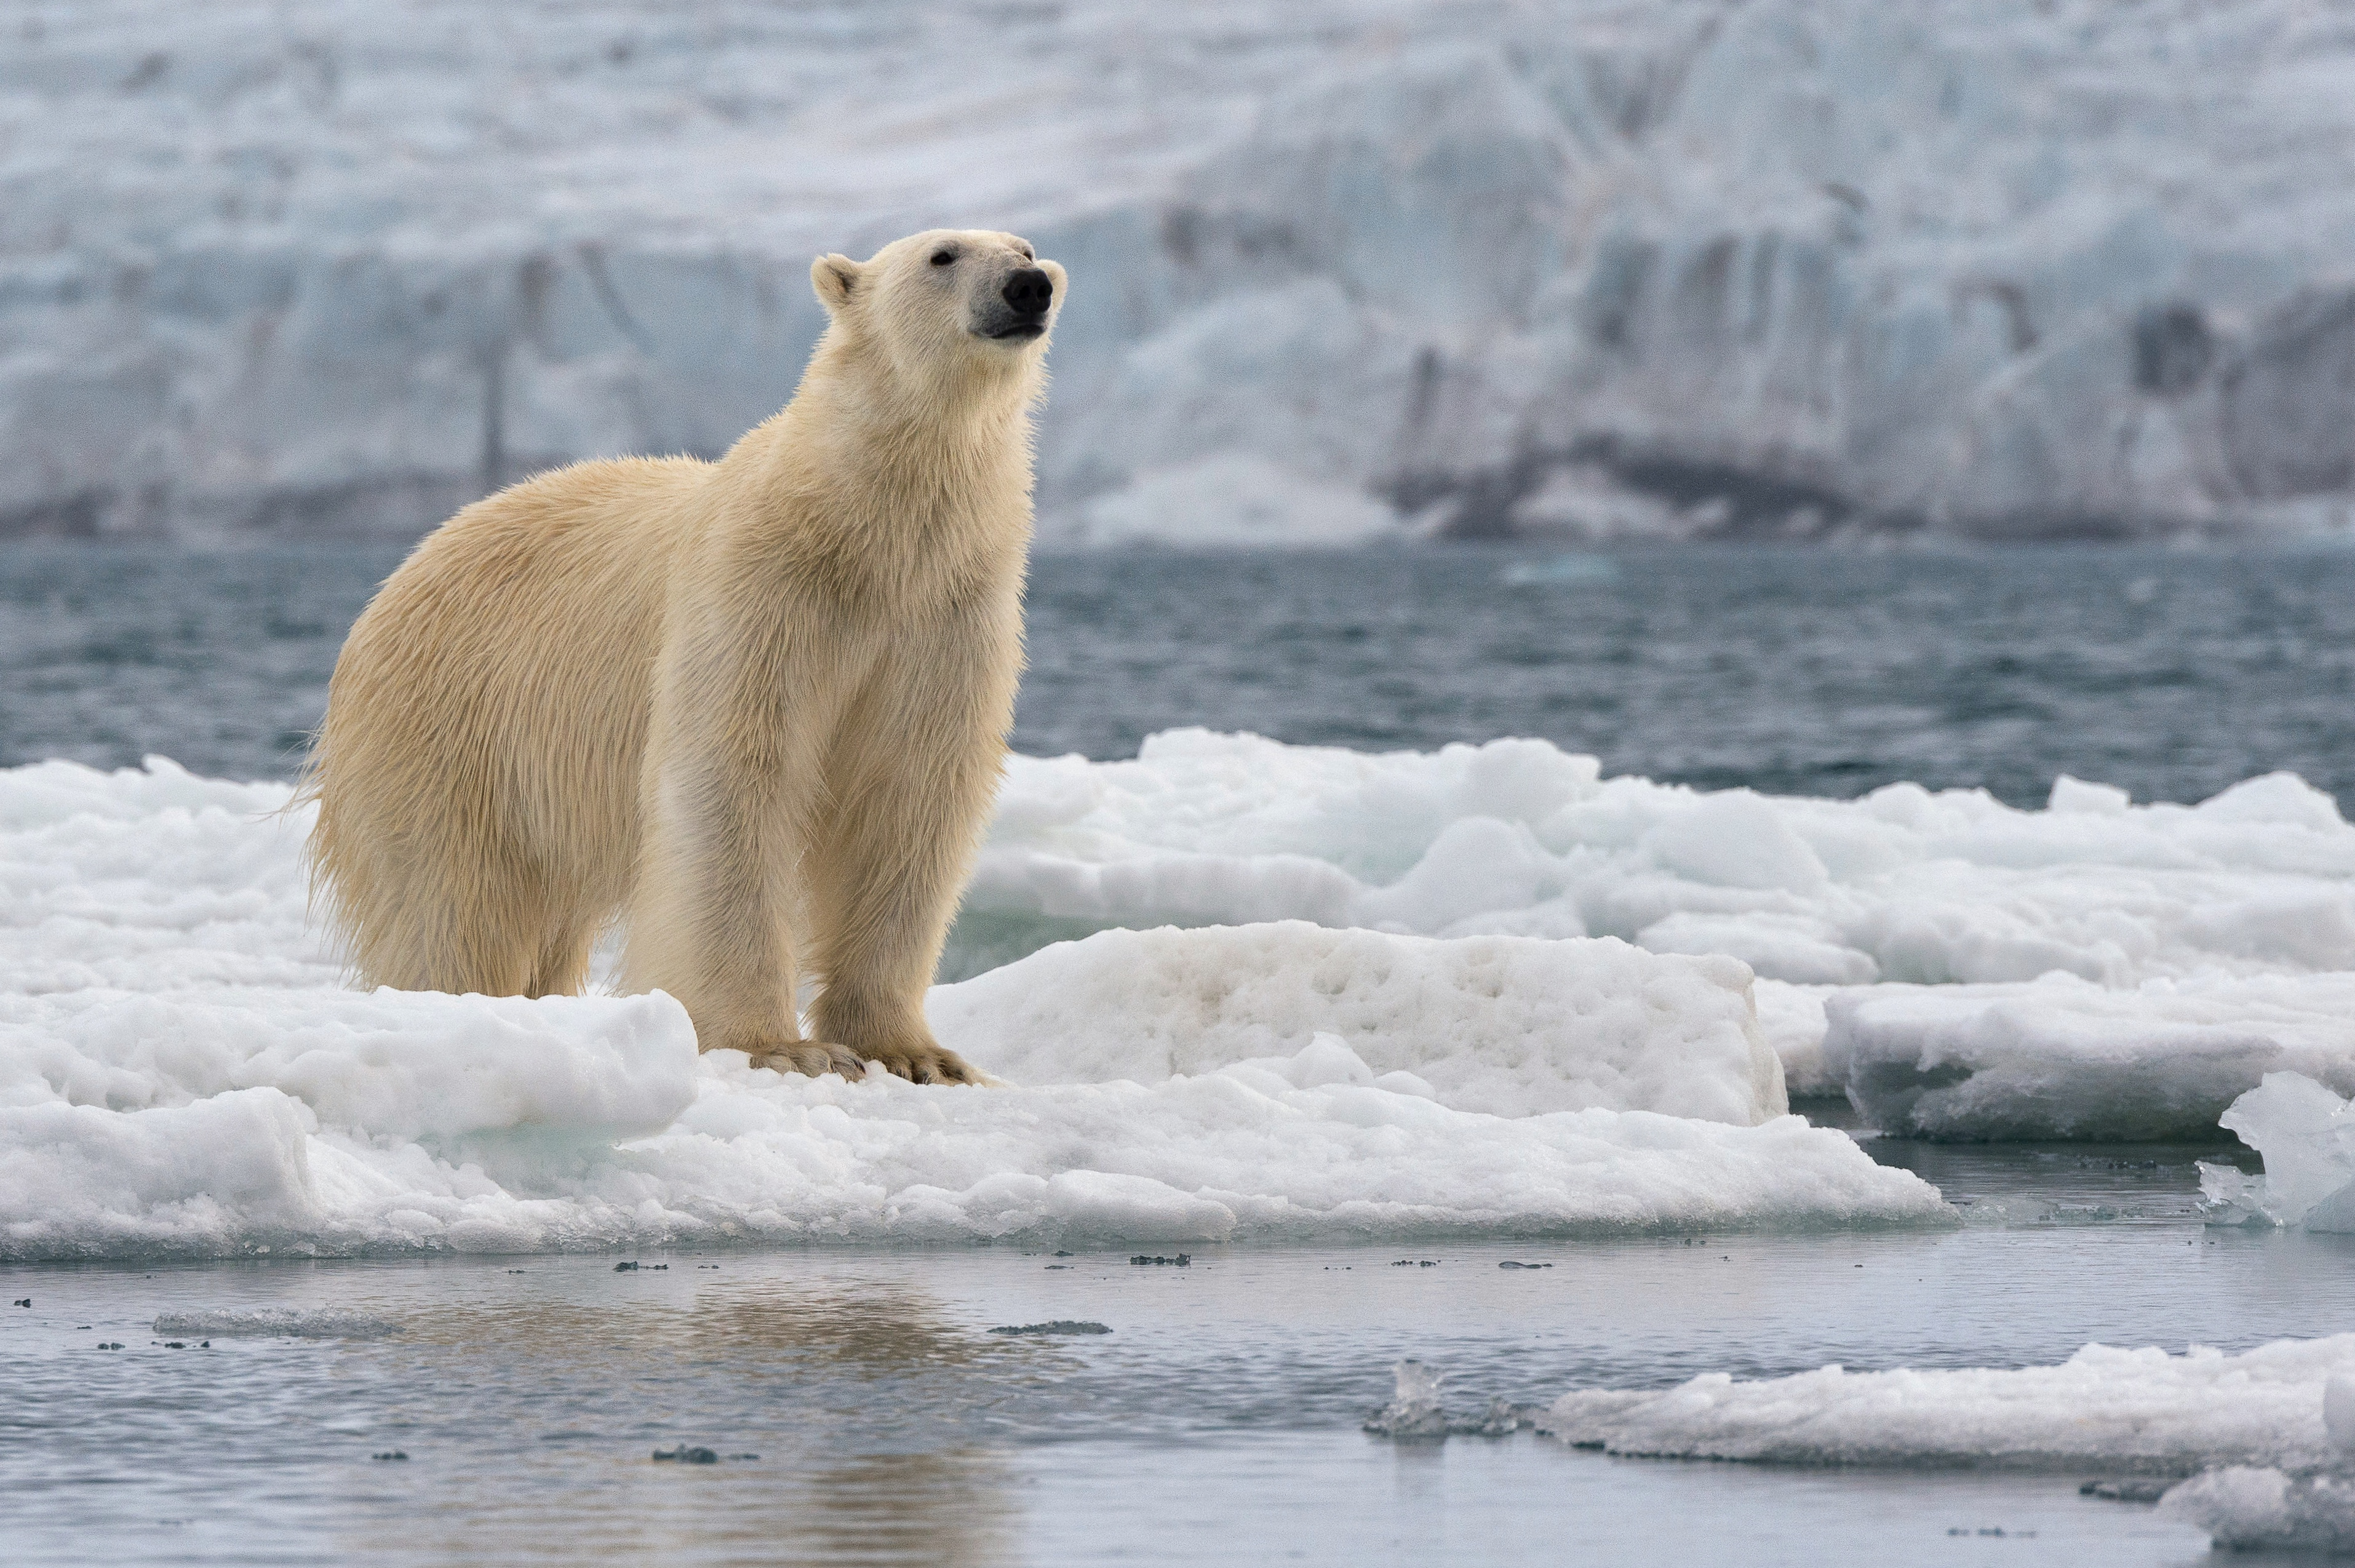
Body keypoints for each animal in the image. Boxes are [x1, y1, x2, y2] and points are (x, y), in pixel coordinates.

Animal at [303, 231, 1069, 1083]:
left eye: (1025, 246)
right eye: (943, 255)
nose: (1029, 285)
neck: (864, 531)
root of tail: (394, 580)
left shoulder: (945, 618)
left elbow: (911, 798)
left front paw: (915, 1053)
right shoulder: (761, 594)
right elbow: (732, 780)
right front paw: (781, 1046)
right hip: (446, 728)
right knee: (452, 904)